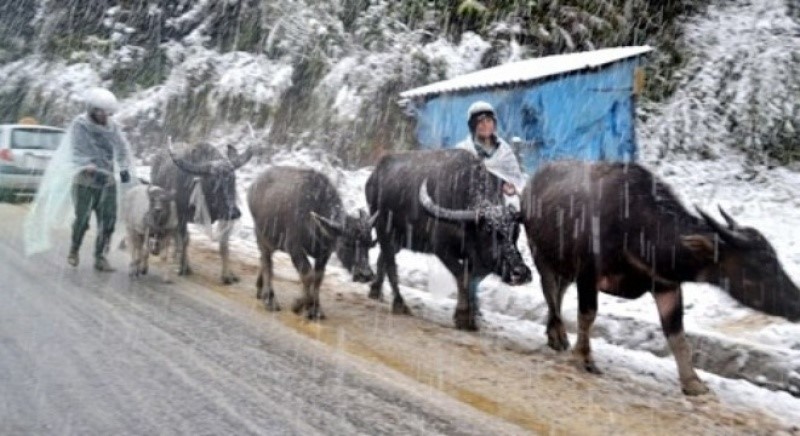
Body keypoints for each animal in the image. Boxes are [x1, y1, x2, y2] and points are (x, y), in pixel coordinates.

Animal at [149, 141, 250, 284]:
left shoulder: (224, 217)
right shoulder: (181, 216)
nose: (234, 212)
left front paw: (228, 275)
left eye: (233, 179)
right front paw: (184, 267)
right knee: (176, 236)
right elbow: (185, 240)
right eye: (213, 181)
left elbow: (224, 245)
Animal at [248, 165, 376, 318]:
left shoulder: (324, 254)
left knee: (263, 260)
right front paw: (299, 305)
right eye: (347, 243)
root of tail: (253, 186)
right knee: (267, 263)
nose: (365, 275)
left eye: (370, 244)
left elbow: (318, 278)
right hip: (261, 236)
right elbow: (308, 275)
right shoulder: (295, 249)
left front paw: (315, 309)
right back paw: (270, 299)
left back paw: (260, 289)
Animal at [368, 150, 532, 330]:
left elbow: (472, 279)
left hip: (399, 239)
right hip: (383, 229)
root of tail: (374, 175)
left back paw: (375, 291)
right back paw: (399, 303)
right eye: (489, 231)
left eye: (516, 231)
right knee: (391, 264)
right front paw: (463, 316)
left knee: (382, 258)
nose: (520, 273)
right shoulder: (442, 249)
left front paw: (471, 316)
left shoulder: (477, 259)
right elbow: (462, 276)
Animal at [520, 160, 796, 396]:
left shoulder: (666, 286)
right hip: (540, 254)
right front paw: (584, 358)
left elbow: (677, 336)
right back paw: (558, 335)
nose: (796, 303)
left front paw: (693, 382)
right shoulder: (588, 275)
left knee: (558, 293)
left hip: (564, 266)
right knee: (549, 291)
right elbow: (587, 316)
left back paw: (554, 334)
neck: (637, 229)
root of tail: (532, 183)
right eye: (759, 266)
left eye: (774, 258)